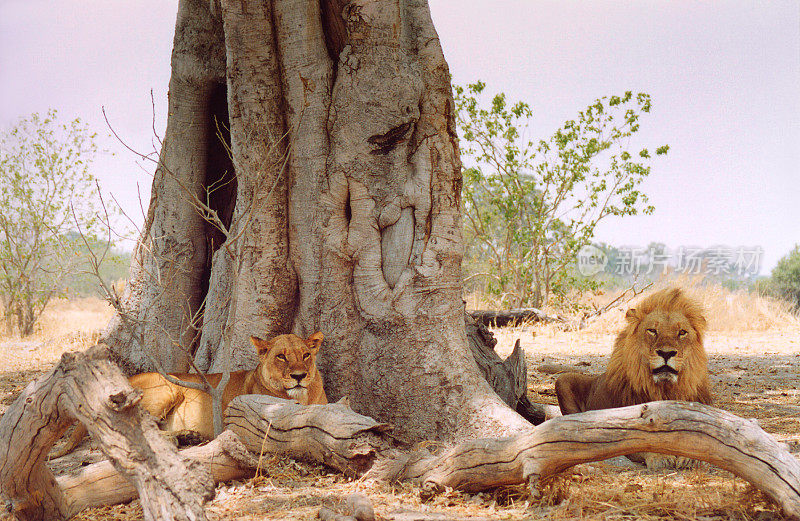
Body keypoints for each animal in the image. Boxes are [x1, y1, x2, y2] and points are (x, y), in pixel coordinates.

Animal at [52, 334, 324, 456]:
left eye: (306, 355)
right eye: (281, 357)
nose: (299, 376)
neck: (303, 396)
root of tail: (126, 379)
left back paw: (187, 436)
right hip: (166, 388)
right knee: (137, 429)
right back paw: (184, 438)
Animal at [556, 286, 712, 470]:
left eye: (682, 332)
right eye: (652, 330)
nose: (666, 353)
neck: (664, 390)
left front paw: (691, 458)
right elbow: (642, 445)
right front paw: (660, 457)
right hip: (563, 379)